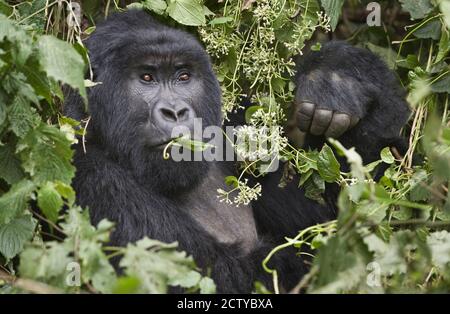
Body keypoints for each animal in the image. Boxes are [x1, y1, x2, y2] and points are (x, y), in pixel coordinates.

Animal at [64, 10, 412, 294]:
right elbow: (230, 274)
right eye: (146, 77)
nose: (176, 112)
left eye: (183, 76)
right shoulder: (93, 179)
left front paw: (339, 75)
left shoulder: (241, 131)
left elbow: (361, 218)